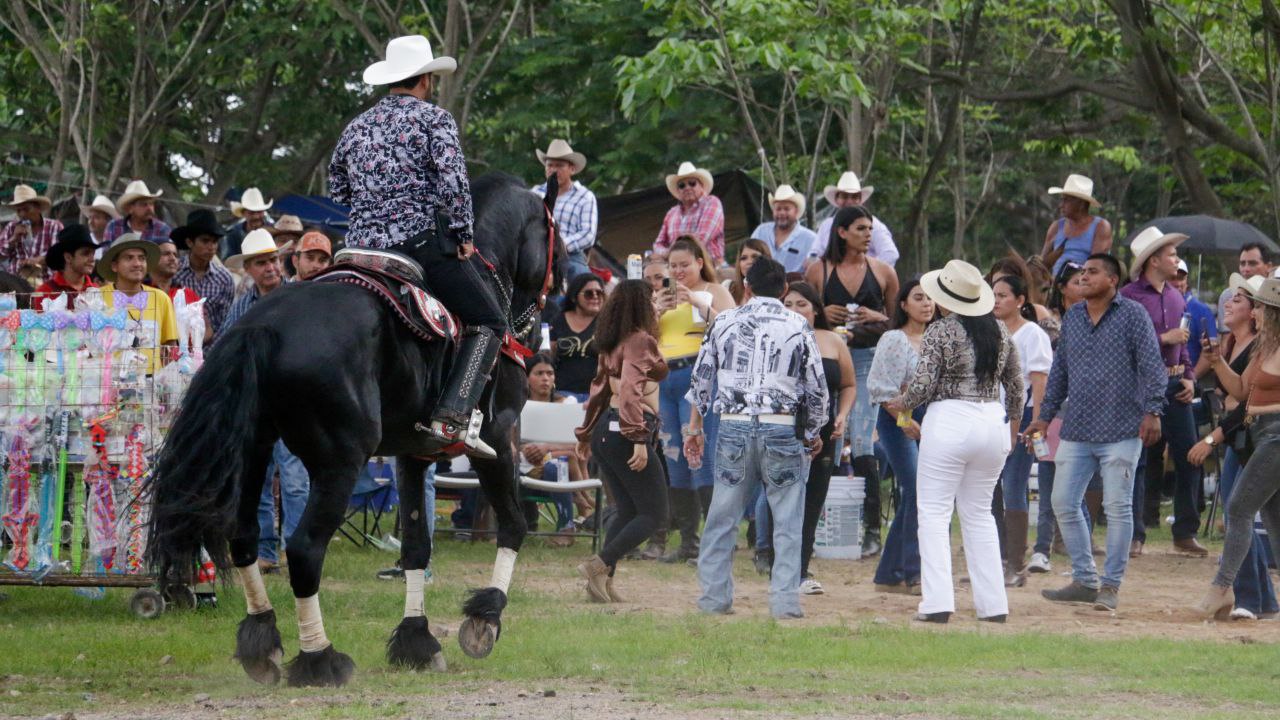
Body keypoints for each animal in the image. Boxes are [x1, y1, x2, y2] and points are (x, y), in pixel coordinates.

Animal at [147, 172, 563, 681]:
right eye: (557, 242)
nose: (536, 328)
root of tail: (265, 325)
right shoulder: (498, 439)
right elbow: (514, 525)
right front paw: (483, 620)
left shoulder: (413, 454)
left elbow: (417, 546)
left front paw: (416, 641)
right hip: (340, 461)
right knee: (304, 549)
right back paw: (320, 657)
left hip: (254, 452)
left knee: (243, 535)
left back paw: (262, 641)